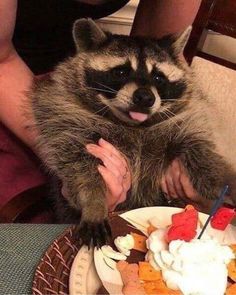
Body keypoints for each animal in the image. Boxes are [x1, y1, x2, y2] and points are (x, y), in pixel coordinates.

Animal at [30, 18, 236, 247]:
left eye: (159, 77)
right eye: (121, 72)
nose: (145, 97)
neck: (134, 126)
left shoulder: (188, 118)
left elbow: (200, 146)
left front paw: (221, 181)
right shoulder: (67, 122)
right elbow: (79, 168)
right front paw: (94, 202)